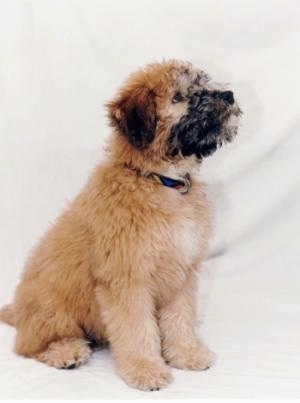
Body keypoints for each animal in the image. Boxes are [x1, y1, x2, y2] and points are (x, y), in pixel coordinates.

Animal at [0, 59, 240, 392]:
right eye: (178, 97)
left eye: (204, 83)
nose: (229, 95)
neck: (158, 180)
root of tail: (19, 311)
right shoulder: (127, 277)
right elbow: (137, 329)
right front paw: (146, 370)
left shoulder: (182, 271)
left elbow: (180, 319)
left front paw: (187, 353)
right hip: (52, 308)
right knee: (29, 344)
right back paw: (66, 351)